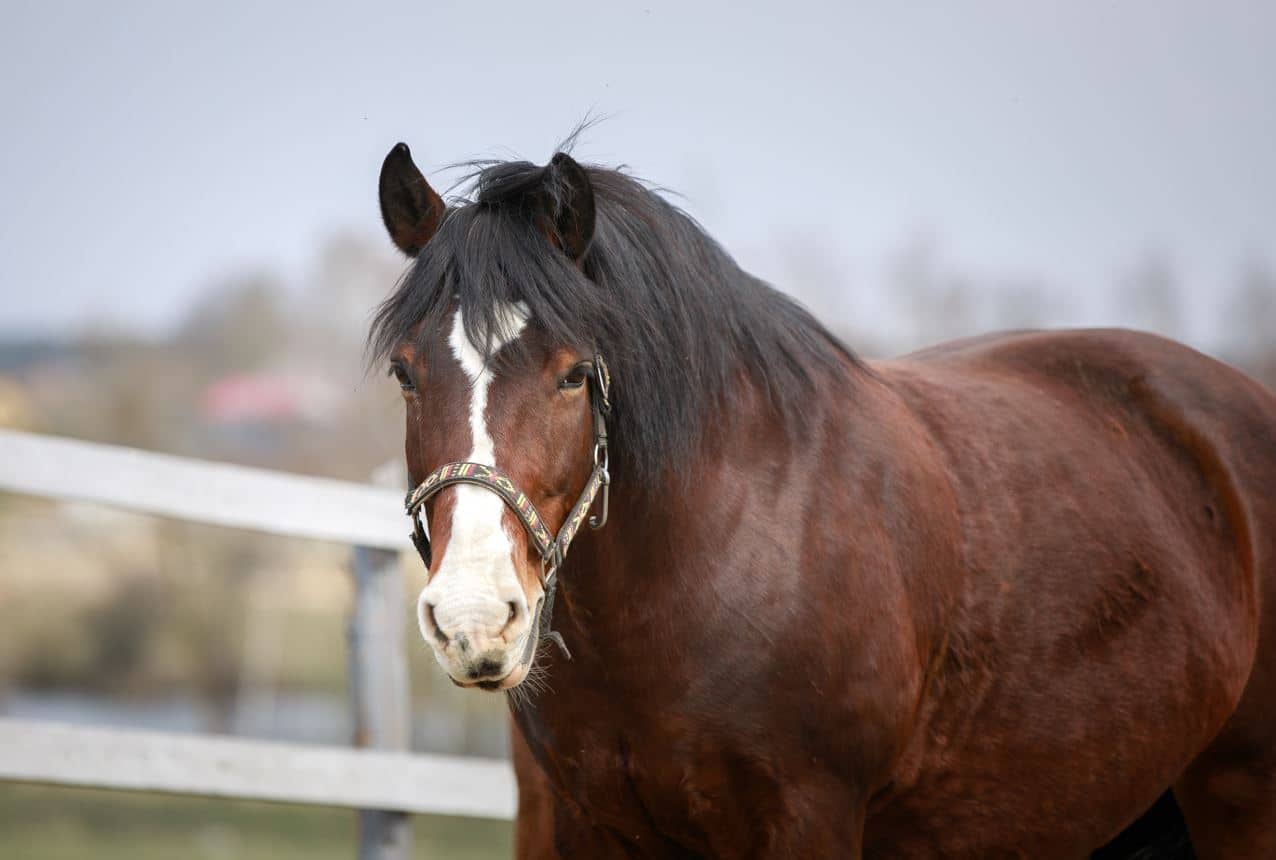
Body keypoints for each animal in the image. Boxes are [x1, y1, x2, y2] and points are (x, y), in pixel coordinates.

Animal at [367, 139, 1276, 852]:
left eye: (574, 374)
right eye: (407, 373)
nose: (474, 620)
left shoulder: (810, 815)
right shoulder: (592, 826)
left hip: (1238, 798)